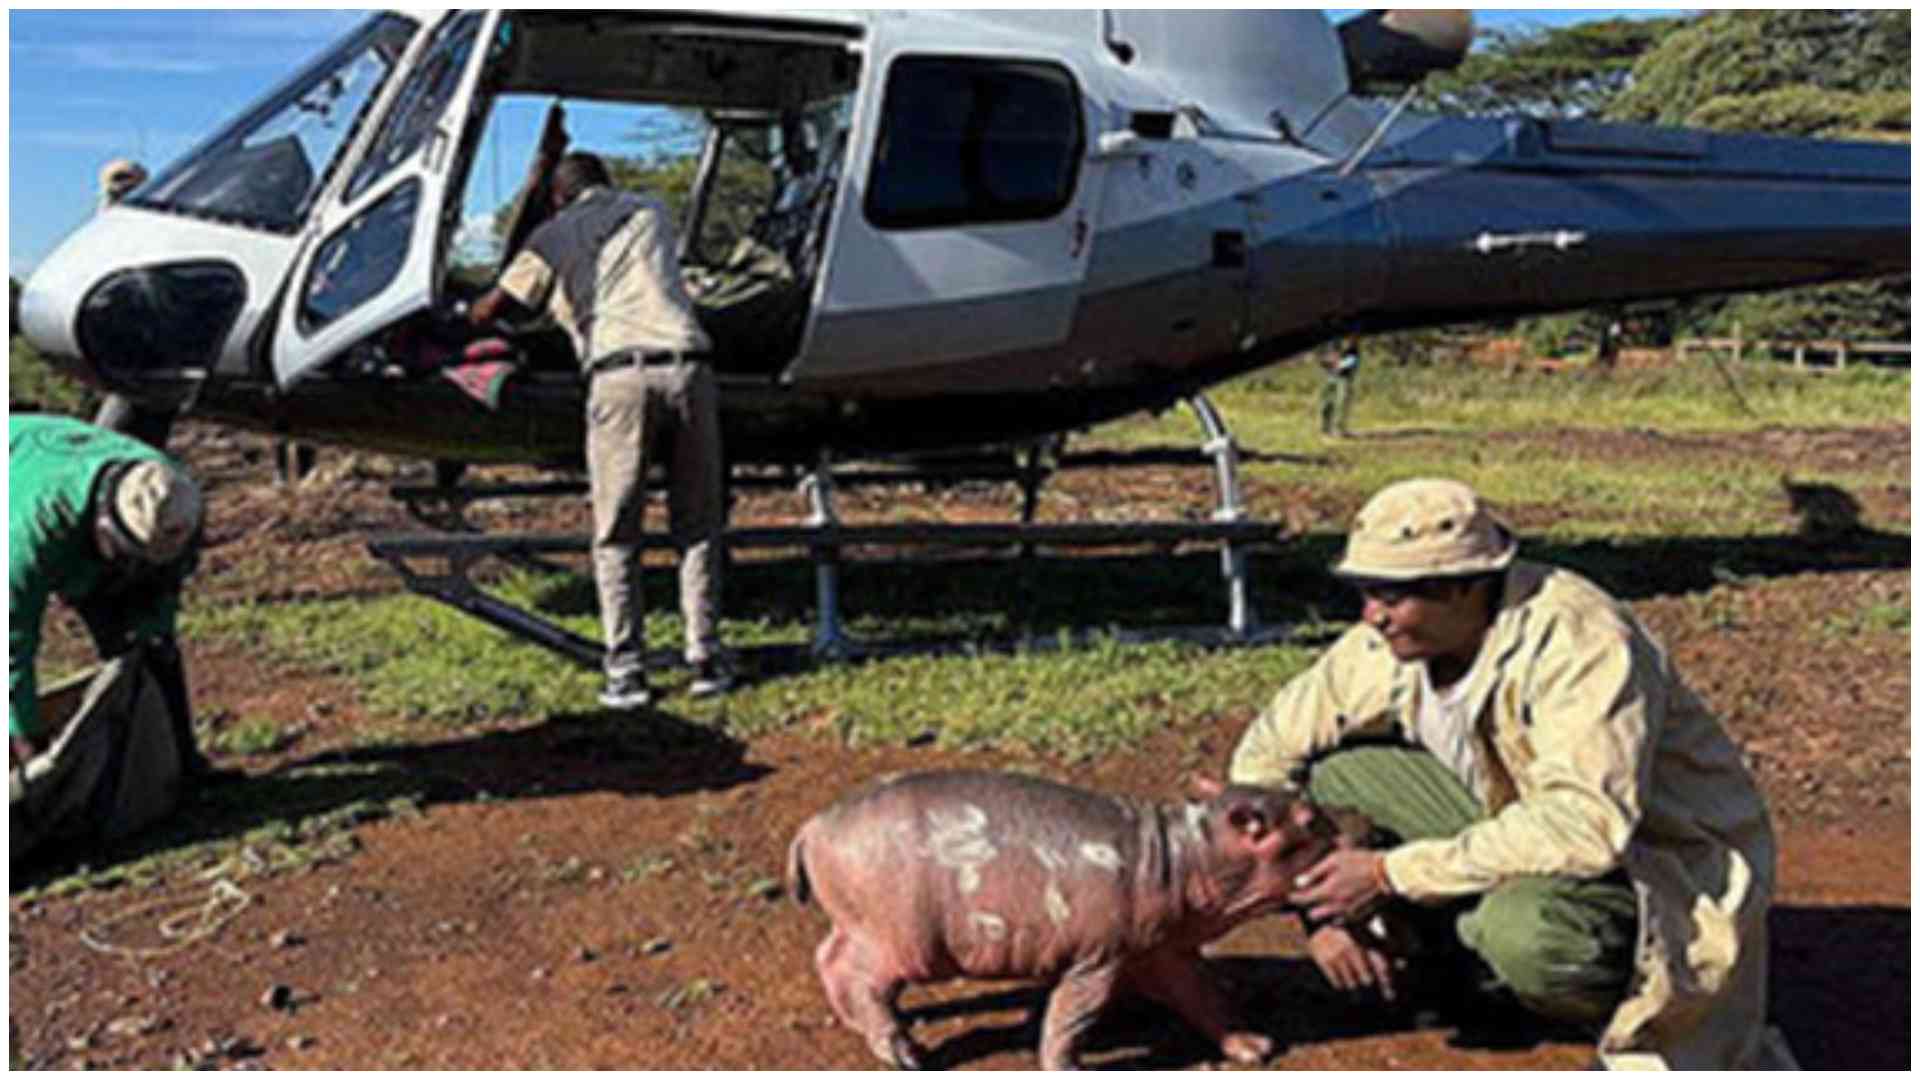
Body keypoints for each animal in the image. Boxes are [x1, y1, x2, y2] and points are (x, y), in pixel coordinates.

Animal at [785, 769, 1374, 1069]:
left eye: (1301, 794)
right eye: (1307, 818)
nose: (1365, 820)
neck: (1190, 852)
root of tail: (812, 826)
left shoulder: (1163, 949)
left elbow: (1205, 996)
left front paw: (1256, 1047)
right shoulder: (1099, 956)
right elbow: (1073, 1015)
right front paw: (1066, 1068)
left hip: (869, 928)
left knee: (830, 958)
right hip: (901, 942)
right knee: (850, 974)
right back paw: (907, 1054)